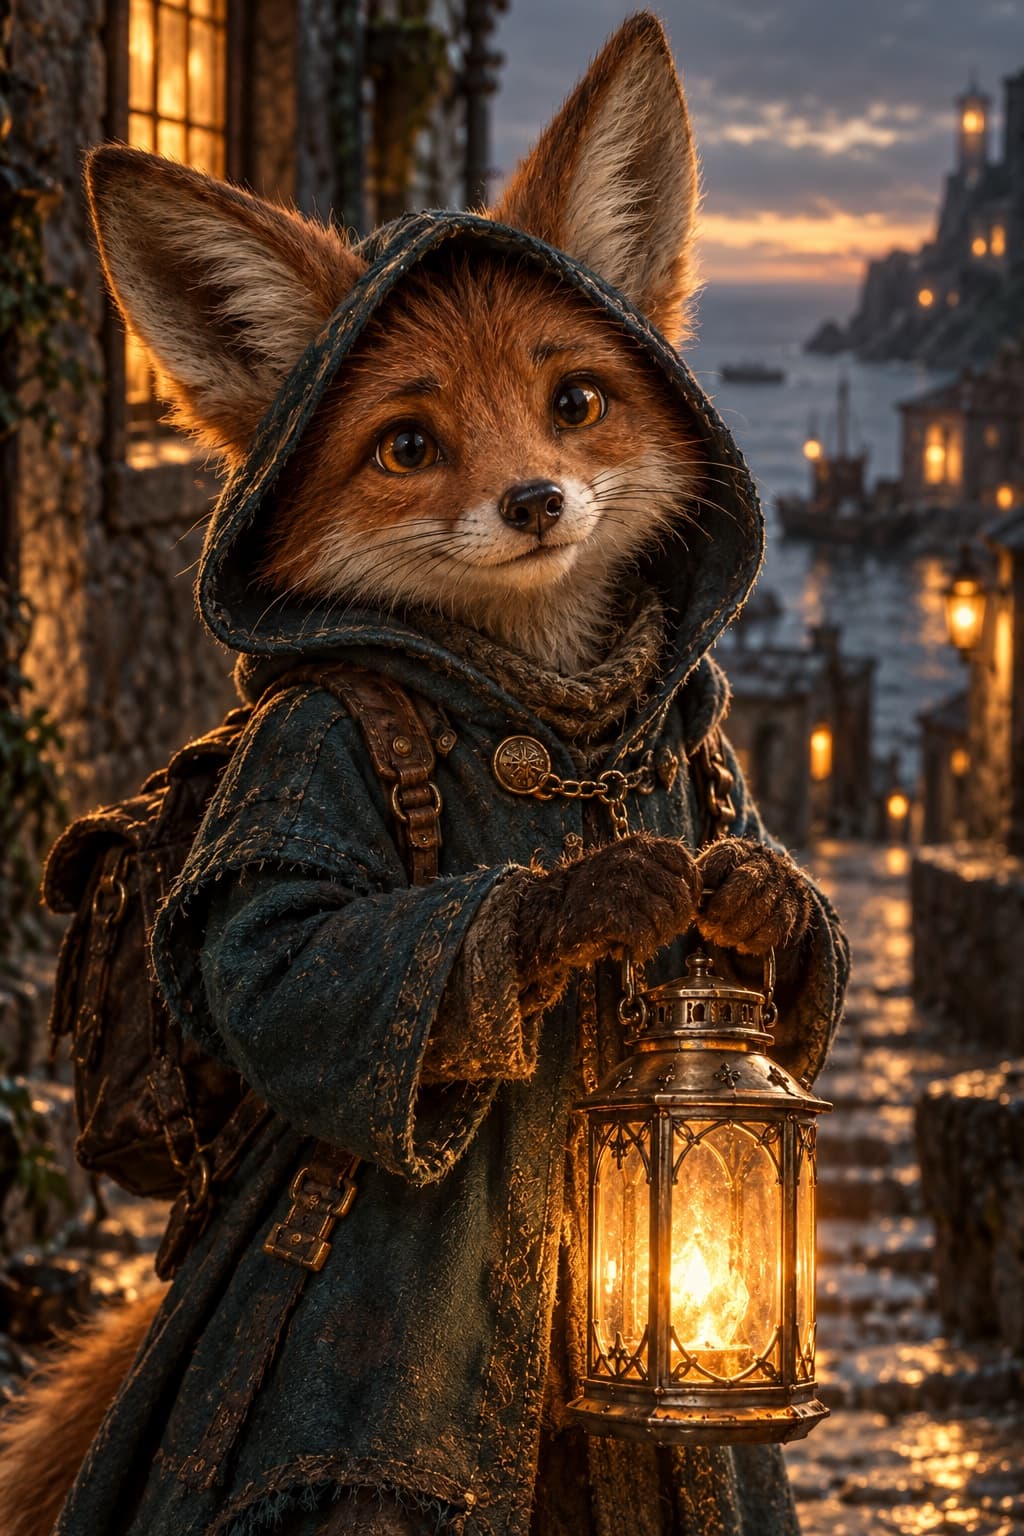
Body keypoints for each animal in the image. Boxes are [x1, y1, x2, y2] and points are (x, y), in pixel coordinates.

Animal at [0, 14, 842, 1536]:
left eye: (575, 401)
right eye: (407, 445)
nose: (535, 501)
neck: (553, 721)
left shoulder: (702, 760)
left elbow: (765, 923)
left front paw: (758, 902)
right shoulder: (307, 762)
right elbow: (296, 976)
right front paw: (577, 904)